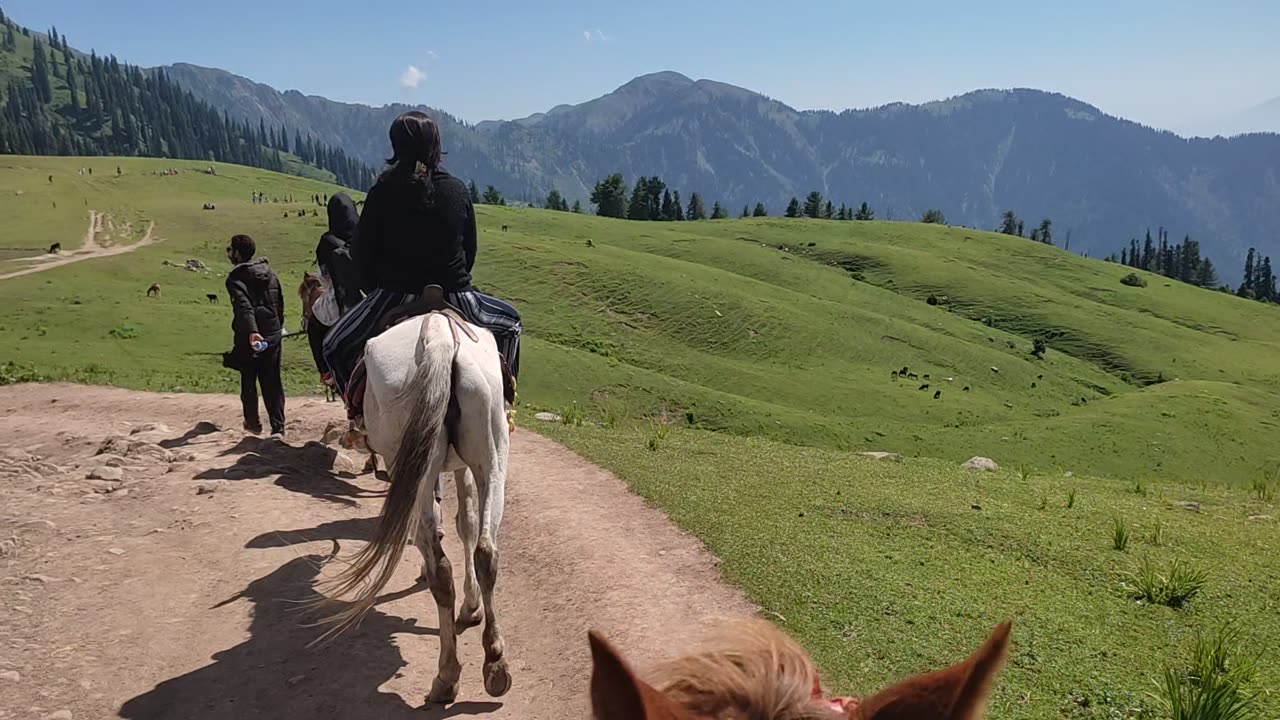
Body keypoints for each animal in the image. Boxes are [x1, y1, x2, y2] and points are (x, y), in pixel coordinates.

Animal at [313, 307, 509, 702]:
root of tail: (439, 337)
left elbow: (441, 528)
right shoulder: (461, 466)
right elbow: (466, 524)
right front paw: (471, 608)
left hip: (413, 465)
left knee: (440, 569)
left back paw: (446, 676)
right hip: (493, 458)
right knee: (486, 552)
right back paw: (495, 664)